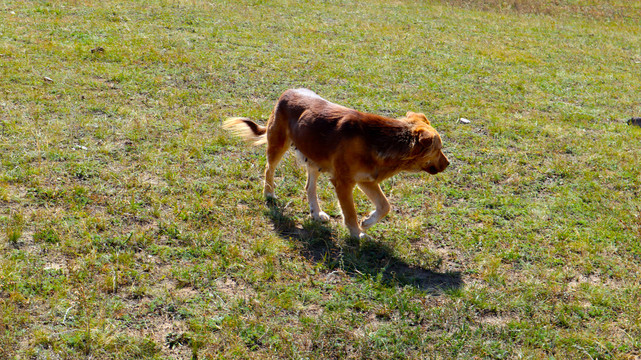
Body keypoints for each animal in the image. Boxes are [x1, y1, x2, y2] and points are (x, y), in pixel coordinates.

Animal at [225, 88, 450, 238]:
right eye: (438, 149)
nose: (448, 164)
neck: (383, 141)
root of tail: (288, 91)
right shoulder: (343, 183)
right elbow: (349, 212)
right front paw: (357, 233)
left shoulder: (367, 180)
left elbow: (385, 206)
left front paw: (367, 222)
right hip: (278, 145)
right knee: (268, 169)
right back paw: (269, 193)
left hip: (313, 157)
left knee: (309, 187)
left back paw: (316, 213)